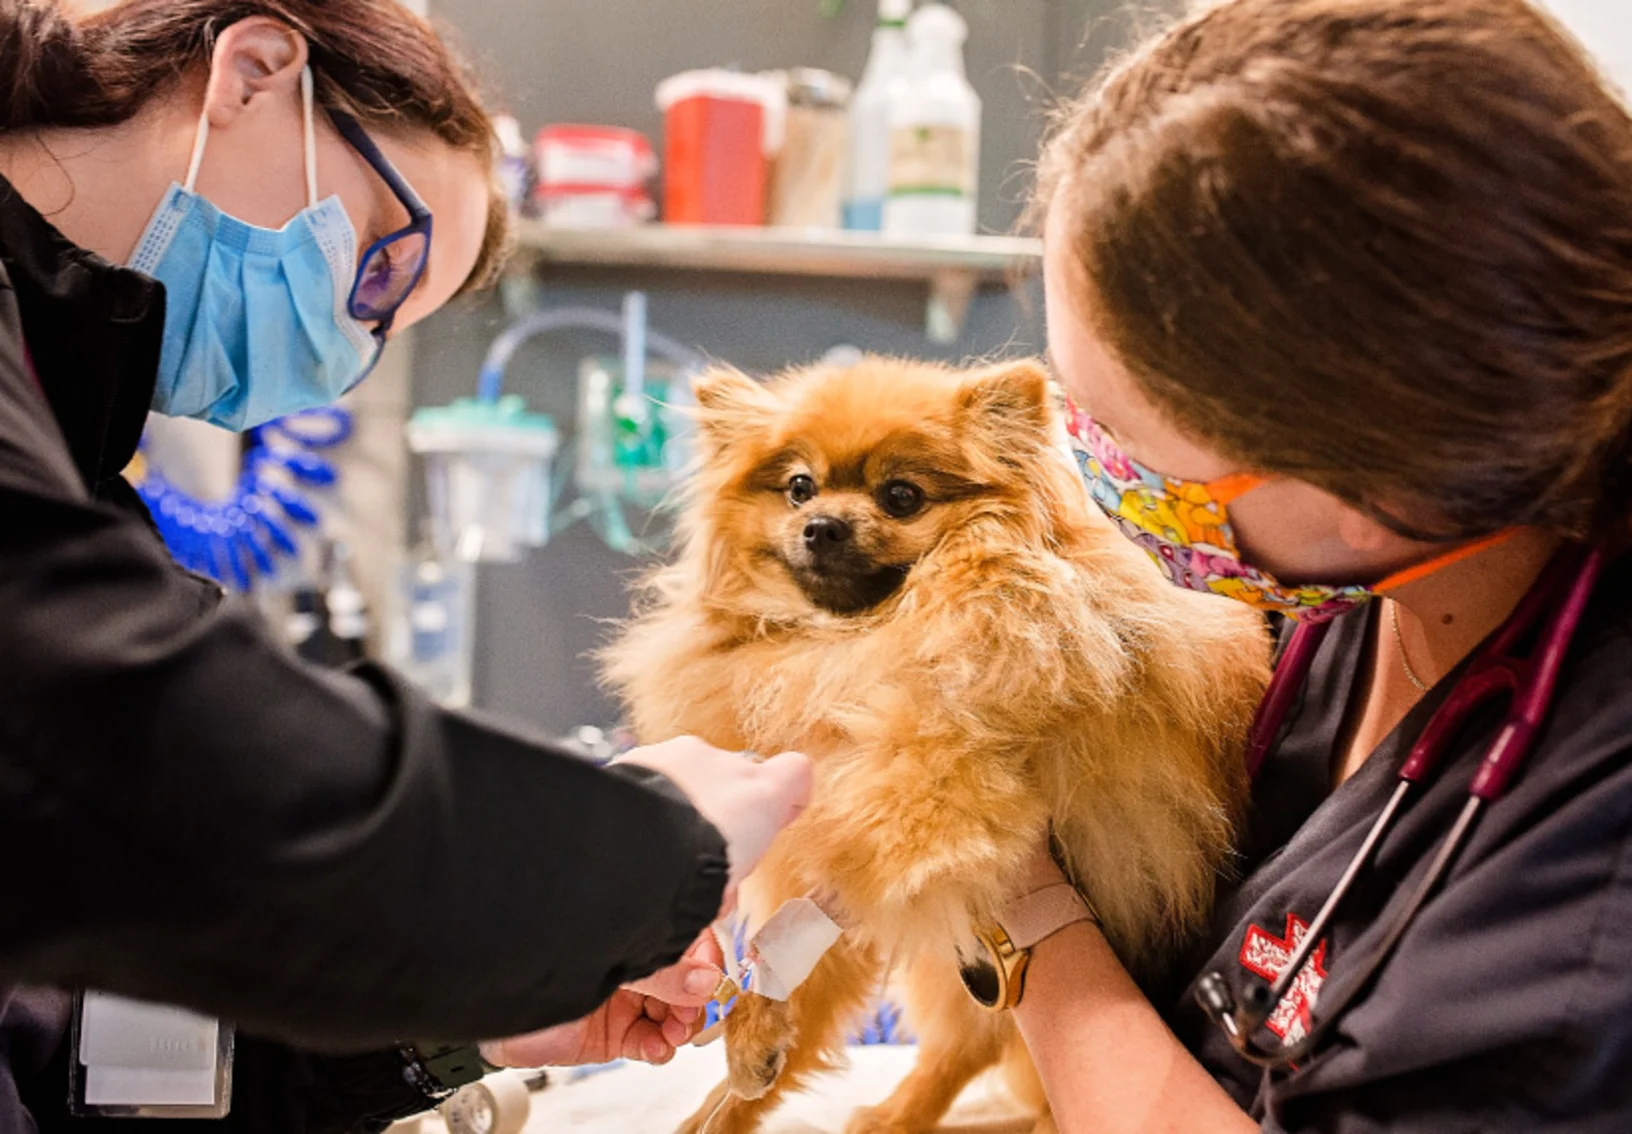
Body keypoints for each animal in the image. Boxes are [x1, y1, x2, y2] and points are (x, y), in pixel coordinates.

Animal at [603, 358, 1272, 1134]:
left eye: (901, 496)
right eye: (799, 487)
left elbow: (844, 882)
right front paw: (745, 1058)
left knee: (980, 1040)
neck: (866, 634)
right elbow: (802, 952)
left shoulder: (932, 797)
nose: (822, 525)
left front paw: (753, 1023)